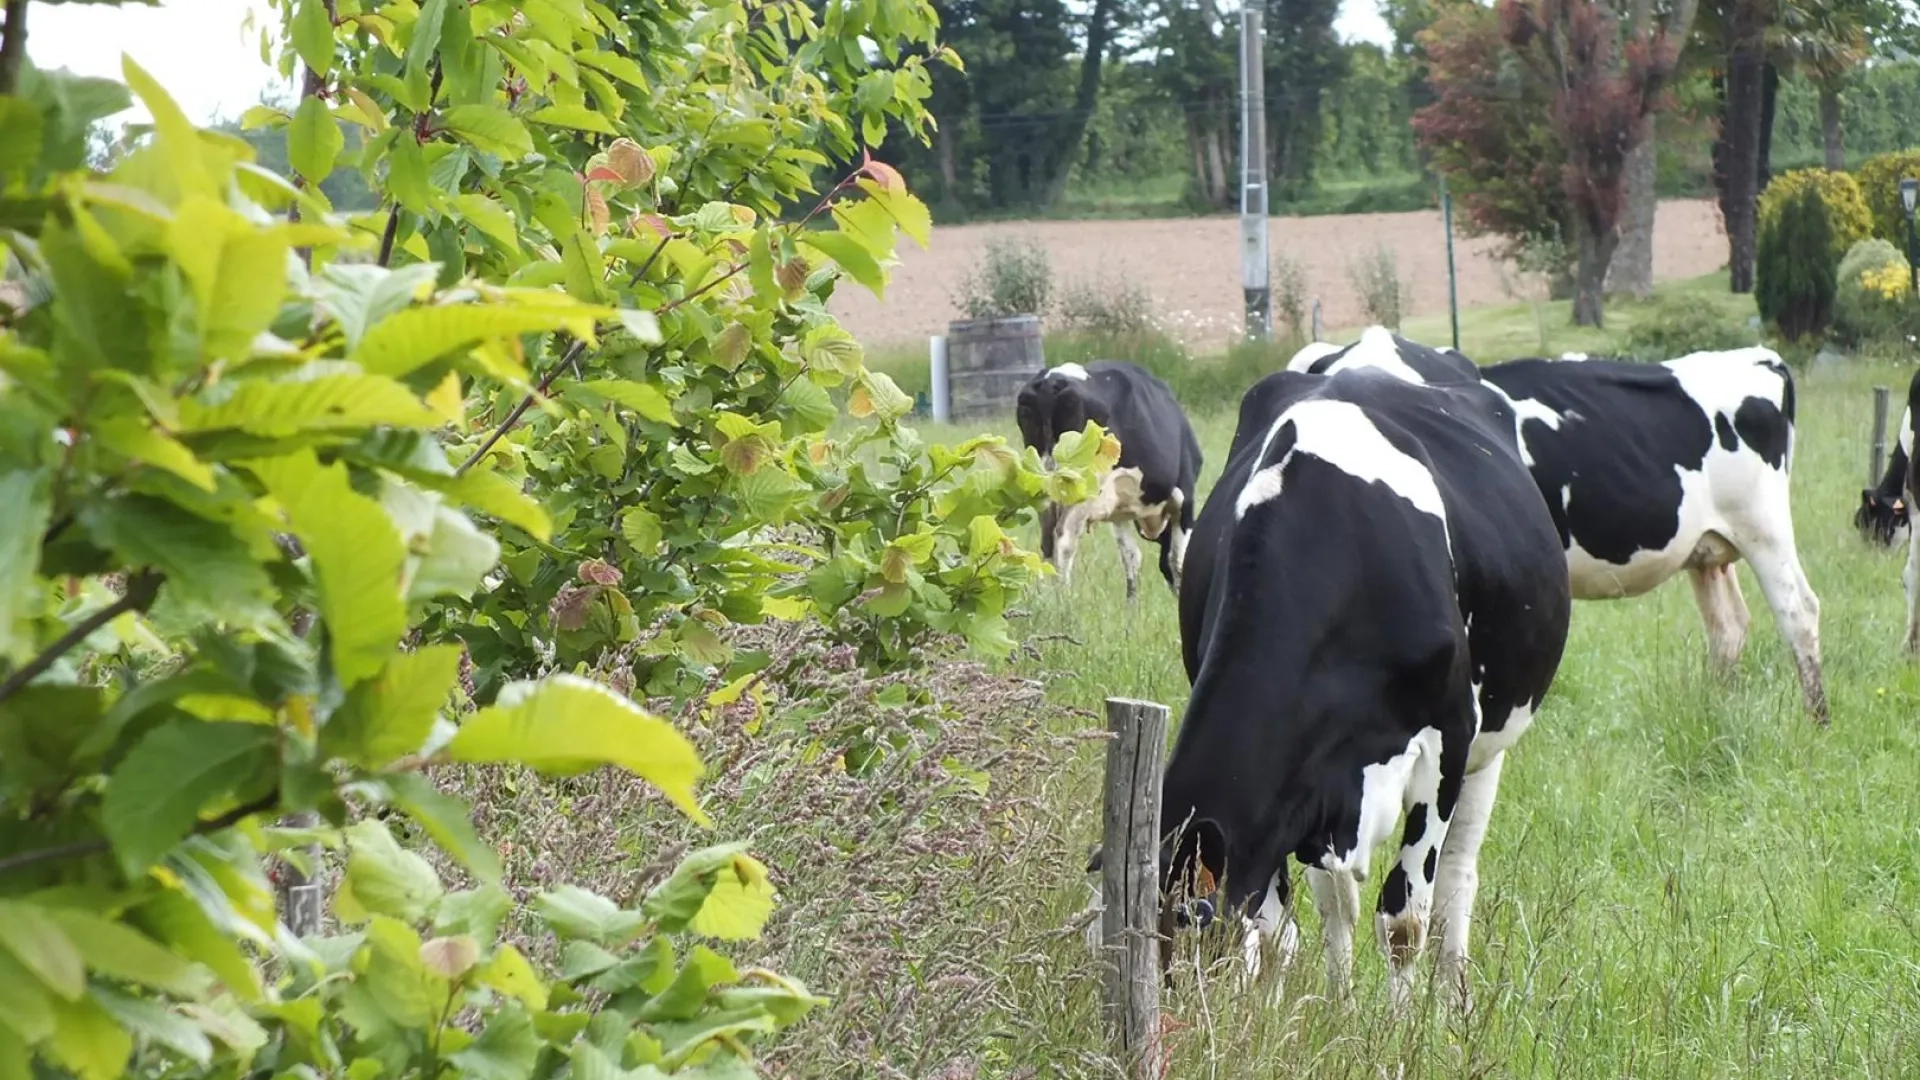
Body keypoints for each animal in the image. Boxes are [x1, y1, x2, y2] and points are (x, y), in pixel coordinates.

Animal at [1016, 361, 1203, 601]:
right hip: (1082, 485)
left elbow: (1131, 557)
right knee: (1064, 538)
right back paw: (1064, 599)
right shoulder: (1184, 498)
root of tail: (1052, 380)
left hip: (1044, 484)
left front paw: (1132, 604)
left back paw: (1049, 598)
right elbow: (1177, 559)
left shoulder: (1119, 514)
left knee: (1047, 542)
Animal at [1113, 363, 1571, 1015]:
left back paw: (1454, 1004)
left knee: (1458, 876)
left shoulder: (1447, 739)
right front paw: (1313, 1014)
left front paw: (1399, 1030)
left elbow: (1404, 919)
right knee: (1340, 900)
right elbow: (1283, 925)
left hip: (1492, 742)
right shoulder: (1297, 788)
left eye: (1184, 933)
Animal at [1293, 330, 1827, 724]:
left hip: (1762, 525)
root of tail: (1756, 357)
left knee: (1798, 611)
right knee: (1729, 626)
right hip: (1708, 549)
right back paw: (1718, 710)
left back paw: (1815, 721)